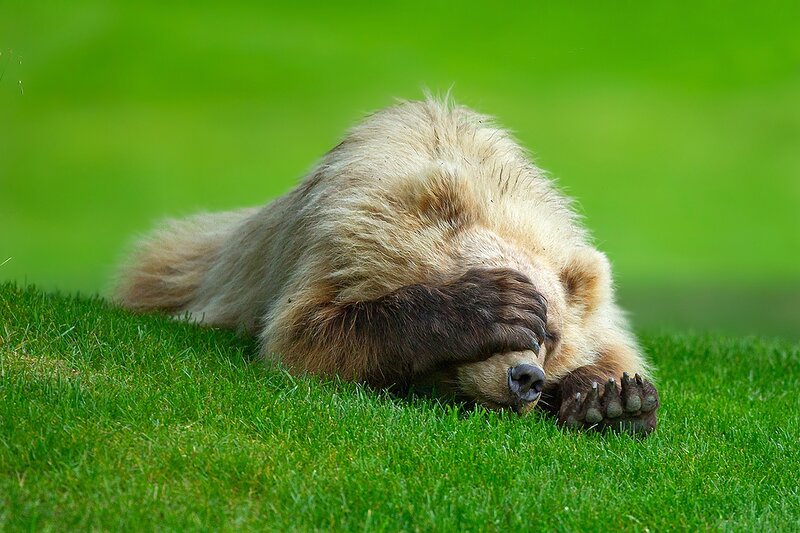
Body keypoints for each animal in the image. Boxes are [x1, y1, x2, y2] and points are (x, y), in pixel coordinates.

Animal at [115, 98, 660, 435]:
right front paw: (487, 307)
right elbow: (307, 333)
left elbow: (613, 350)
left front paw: (612, 400)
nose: (524, 377)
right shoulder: (340, 242)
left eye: (551, 334)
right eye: (530, 318)